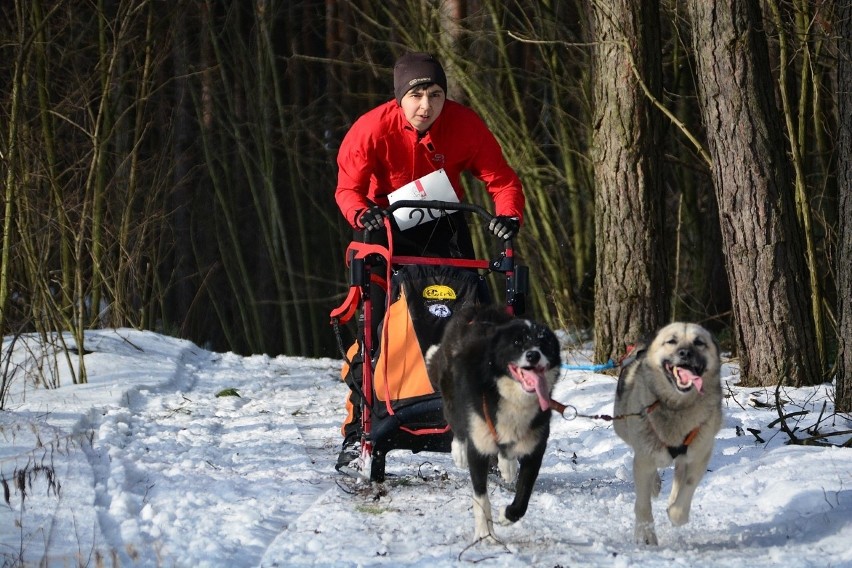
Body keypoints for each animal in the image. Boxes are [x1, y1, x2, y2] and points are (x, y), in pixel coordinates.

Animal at [426, 306, 560, 540]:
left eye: (544, 343)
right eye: (517, 342)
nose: (533, 355)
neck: (513, 399)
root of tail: (473, 310)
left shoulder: (535, 448)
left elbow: (524, 494)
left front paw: (508, 516)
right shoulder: (478, 447)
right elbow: (481, 497)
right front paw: (484, 534)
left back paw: (508, 466)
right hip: (452, 396)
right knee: (457, 425)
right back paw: (459, 452)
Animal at [616, 322, 724, 544]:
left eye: (699, 342)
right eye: (671, 341)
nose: (685, 353)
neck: (677, 407)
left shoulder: (700, 455)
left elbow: (686, 490)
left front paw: (675, 512)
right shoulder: (644, 458)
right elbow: (642, 502)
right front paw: (645, 534)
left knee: (679, 471)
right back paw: (655, 485)